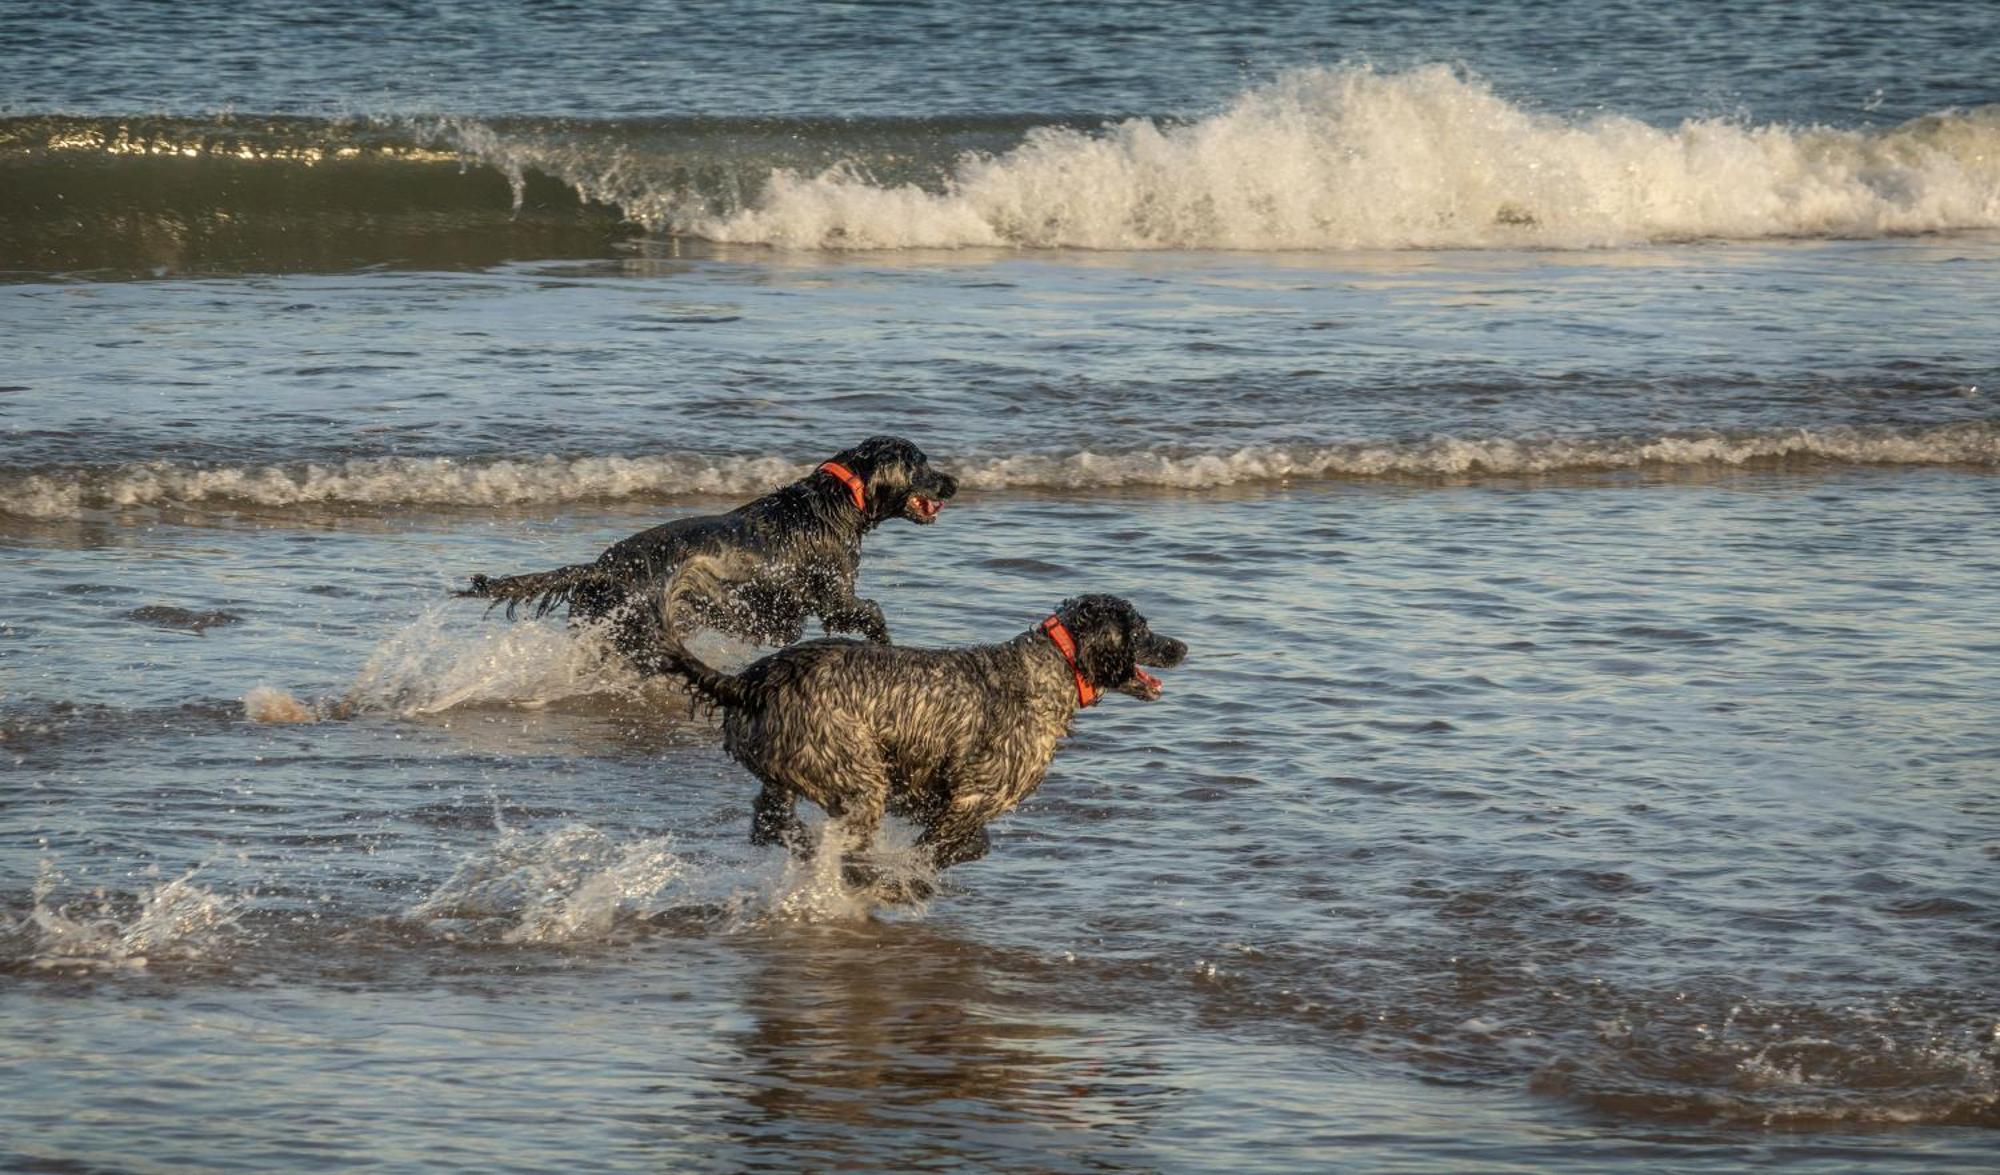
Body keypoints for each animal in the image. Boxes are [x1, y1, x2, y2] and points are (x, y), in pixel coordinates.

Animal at [458, 435, 956, 671]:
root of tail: (598, 569)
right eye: (922, 464)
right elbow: (870, 611)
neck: (835, 502)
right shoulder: (834, 596)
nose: (953, 482)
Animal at [656, 595, 1184, 879]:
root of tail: (752, 681)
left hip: (789, 775)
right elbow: (945, 847)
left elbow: (967, 843)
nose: (1181, 646)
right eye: (1141, 629)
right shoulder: (970, 796)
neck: (1055, 663)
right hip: (858, 781)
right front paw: (911, 875)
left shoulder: (926, 792)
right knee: (840, 849)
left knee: (768, 824)